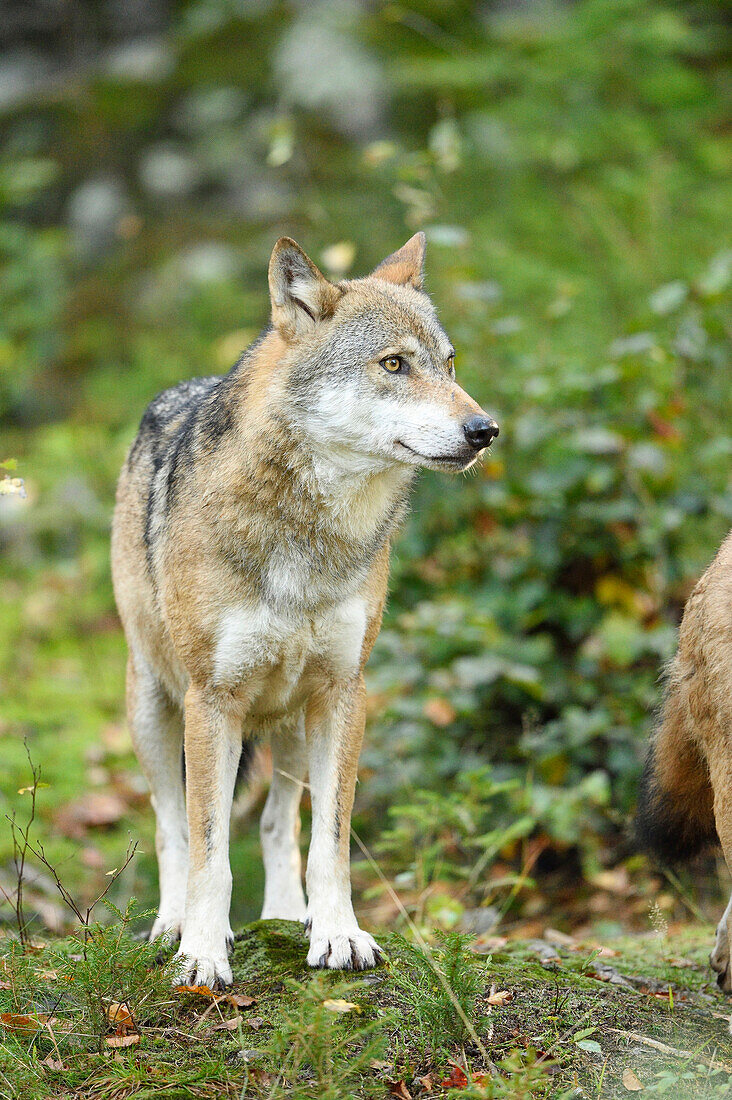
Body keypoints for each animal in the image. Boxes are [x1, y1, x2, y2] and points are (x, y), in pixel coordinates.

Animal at [110, 234, 497, 990]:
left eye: (449, 363)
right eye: (394, 364)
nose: (485, 428)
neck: (310, 535)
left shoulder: (344, 691)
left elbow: (330, 841)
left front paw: (338, 934)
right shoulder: (213, 699)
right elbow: (208, 849)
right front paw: (203, 951)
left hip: (289, 718)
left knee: (276, 823)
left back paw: (289, 918)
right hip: (154, 703)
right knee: (171, 825)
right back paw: (172, 923)